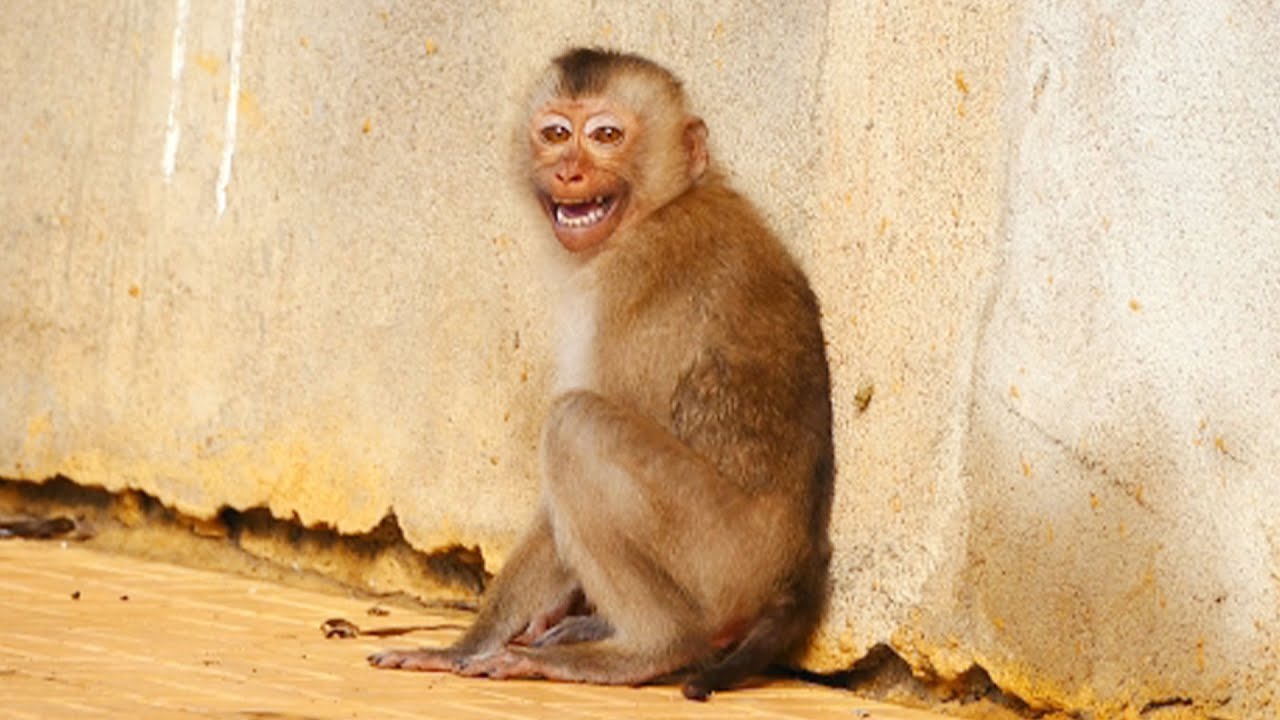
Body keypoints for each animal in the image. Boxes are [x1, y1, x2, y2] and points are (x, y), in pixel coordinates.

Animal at [369, 47, 833, 701]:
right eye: (556, 134)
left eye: (606, 136)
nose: (569, 172)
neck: (663, 206)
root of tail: (796, 574)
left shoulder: (633, 281)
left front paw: (463, 646)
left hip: (723, 557)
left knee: (576, 426)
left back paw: (646, 650)